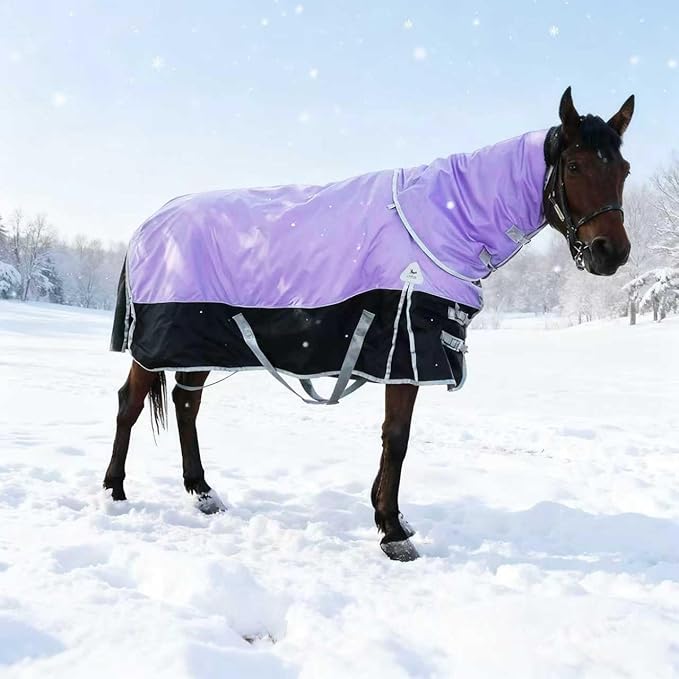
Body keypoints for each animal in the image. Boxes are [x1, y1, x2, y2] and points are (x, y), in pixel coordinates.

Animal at [106, 87, 634, 561]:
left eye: (623, 170)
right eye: (574, 166)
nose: (612, 253)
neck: (441, 222)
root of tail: (148, 225)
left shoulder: (403, 357)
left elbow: (392, 437)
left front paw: (388, 514)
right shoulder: (406, 350)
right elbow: (396, 437)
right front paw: (392, 532)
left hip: (197, 341)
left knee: (186, 404)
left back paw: (202, 492)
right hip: (156, 345)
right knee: (131, 403)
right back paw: (114, 491)